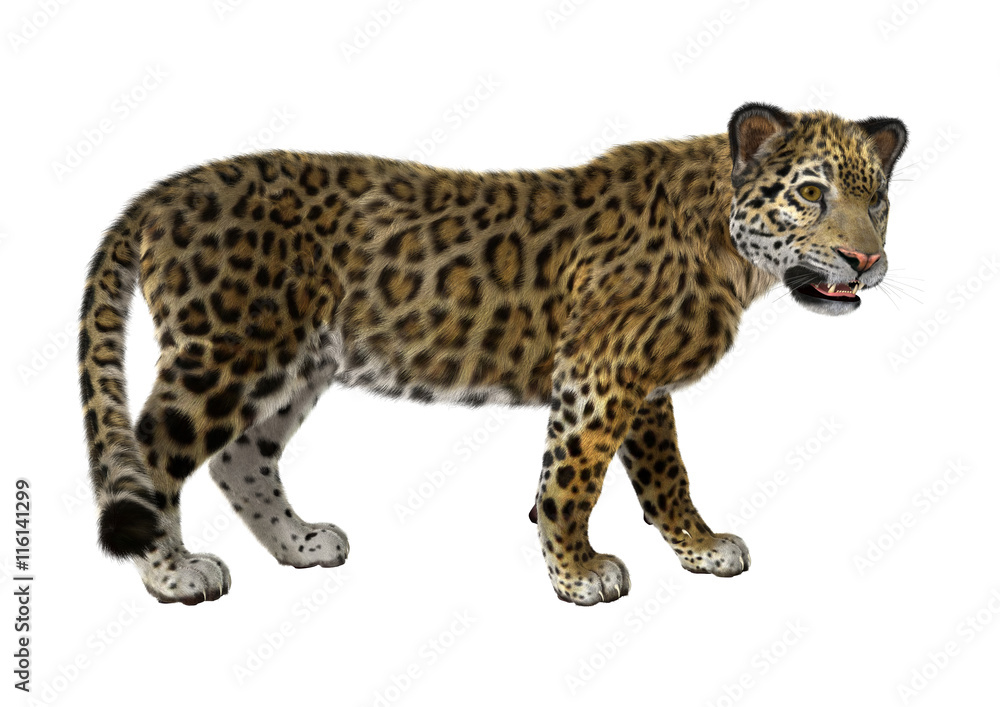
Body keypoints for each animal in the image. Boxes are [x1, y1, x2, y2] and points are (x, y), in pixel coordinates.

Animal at [78, 102, 906, 606]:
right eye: (811, 193)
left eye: (879, 198)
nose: (866, 260)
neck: (732, 253)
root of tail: (159, 193)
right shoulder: (599, 372)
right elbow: (572, 478)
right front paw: (578, 573)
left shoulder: (641, 385)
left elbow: (665, 474)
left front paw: (699, 547)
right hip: (226, 352)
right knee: (149, 457)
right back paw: (175, 573)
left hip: (294, 363)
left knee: (239, 456)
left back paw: (300, 542)